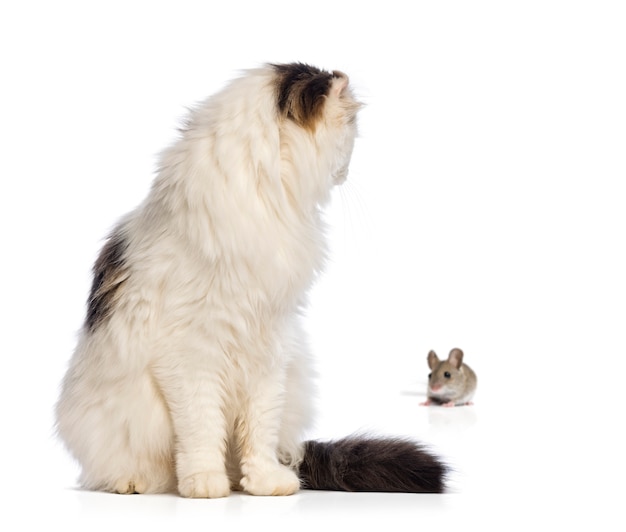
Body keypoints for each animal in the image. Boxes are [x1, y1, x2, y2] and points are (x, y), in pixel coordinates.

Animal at [54, 63, 444, 498]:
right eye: (352, 136)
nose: (346, 172)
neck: (266, 197)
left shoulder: (270, 344)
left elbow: (259, 431)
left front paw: (265, 482)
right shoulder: (191, 354)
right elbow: (202, 428)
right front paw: (205, 483)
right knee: (127, 465)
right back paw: (135, 481)